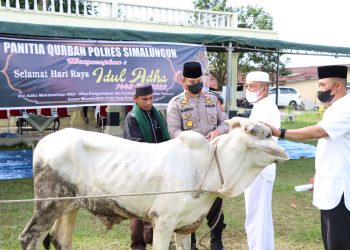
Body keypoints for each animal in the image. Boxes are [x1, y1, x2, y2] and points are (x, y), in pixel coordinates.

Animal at [18, 117, 288, 250]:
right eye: (265, 134)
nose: (282, 147)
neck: (209, 164)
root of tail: (45, 142)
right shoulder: (162, 222)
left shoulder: (185, 227)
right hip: (48, 204)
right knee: (28, 237)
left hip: (69, 206)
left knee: (60, 239)